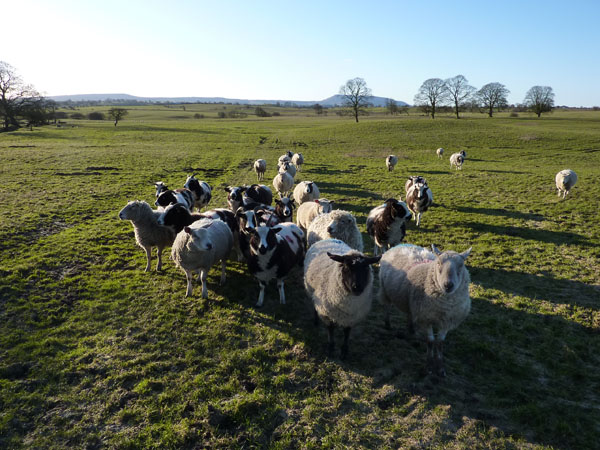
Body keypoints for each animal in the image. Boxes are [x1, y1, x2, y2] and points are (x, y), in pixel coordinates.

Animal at [380, 244, 474, 378]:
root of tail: (402, 244)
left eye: (461, 265)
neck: (444, 305)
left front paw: (440, 368)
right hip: (385, 290)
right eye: (439, 263)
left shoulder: (447, 321)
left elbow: (439, 343)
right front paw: (428, 367)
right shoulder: (426, 318)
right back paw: (387, 324)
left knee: (409, 313)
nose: (448, 285)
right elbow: (430, 341)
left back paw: (411, 329)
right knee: (387, 307)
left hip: (412, 302)